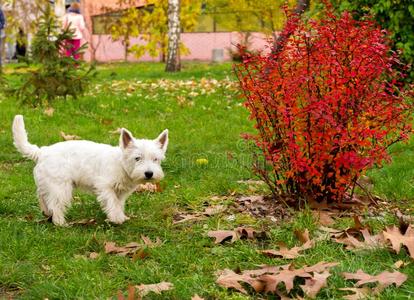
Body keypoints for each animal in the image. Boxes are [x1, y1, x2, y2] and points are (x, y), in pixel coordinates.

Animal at [12, 116, 168, 226]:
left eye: (156, 159)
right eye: (137, 158)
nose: (149, 174)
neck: (121, 165)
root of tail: (42, 152)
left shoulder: (121, 192)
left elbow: (118, 203)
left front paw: (120, 215)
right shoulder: (105, 186)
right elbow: (112, 201)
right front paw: (116, 218)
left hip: (48, 183)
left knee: (42, 196)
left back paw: (46, 212)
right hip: (61, 186)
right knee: (55, 204)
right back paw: (60, 222)